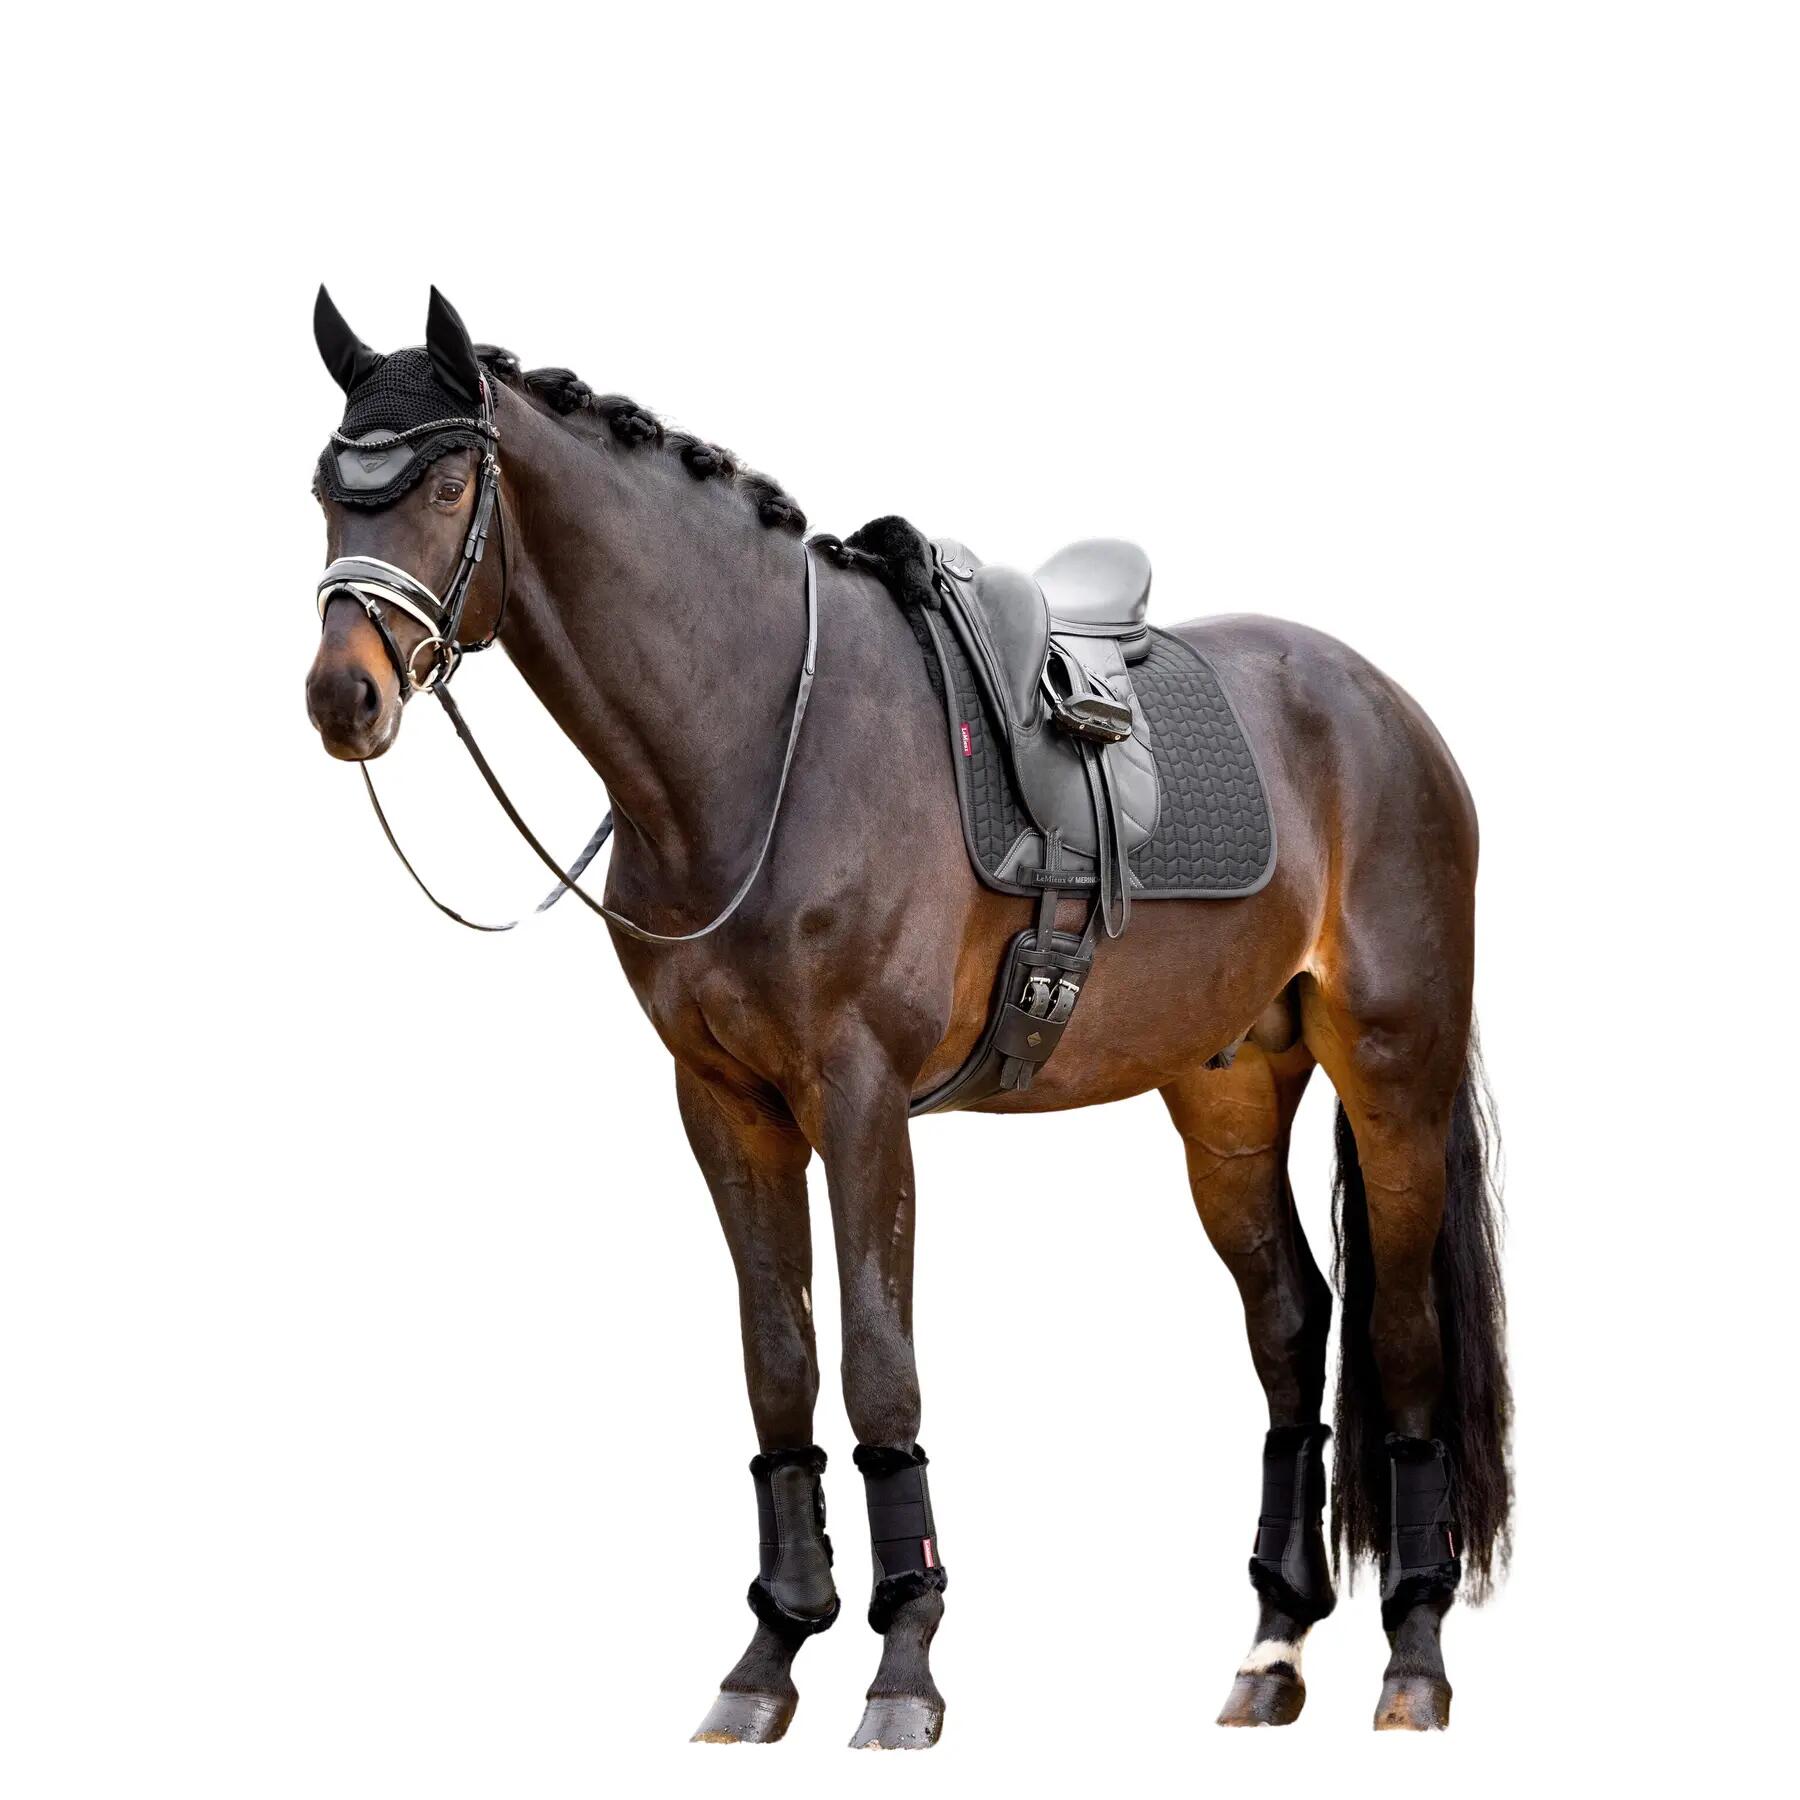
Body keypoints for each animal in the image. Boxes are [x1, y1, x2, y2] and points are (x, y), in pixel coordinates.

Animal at [304, 288, 1510, 1743]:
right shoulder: (724, 1103)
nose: (343, 696)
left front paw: (901, 1667)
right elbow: (779, 1360)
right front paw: (766, 1658)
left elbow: (880, 1360)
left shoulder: (862, 1093)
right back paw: (1272, 1649)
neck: (761, 739)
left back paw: (1414, 1664)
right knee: (1290, 1324)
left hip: (1395, 1068)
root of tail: (1387, 710)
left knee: (1402, 1335)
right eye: (324, 490)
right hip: (1226, 1089)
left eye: (442, 481)